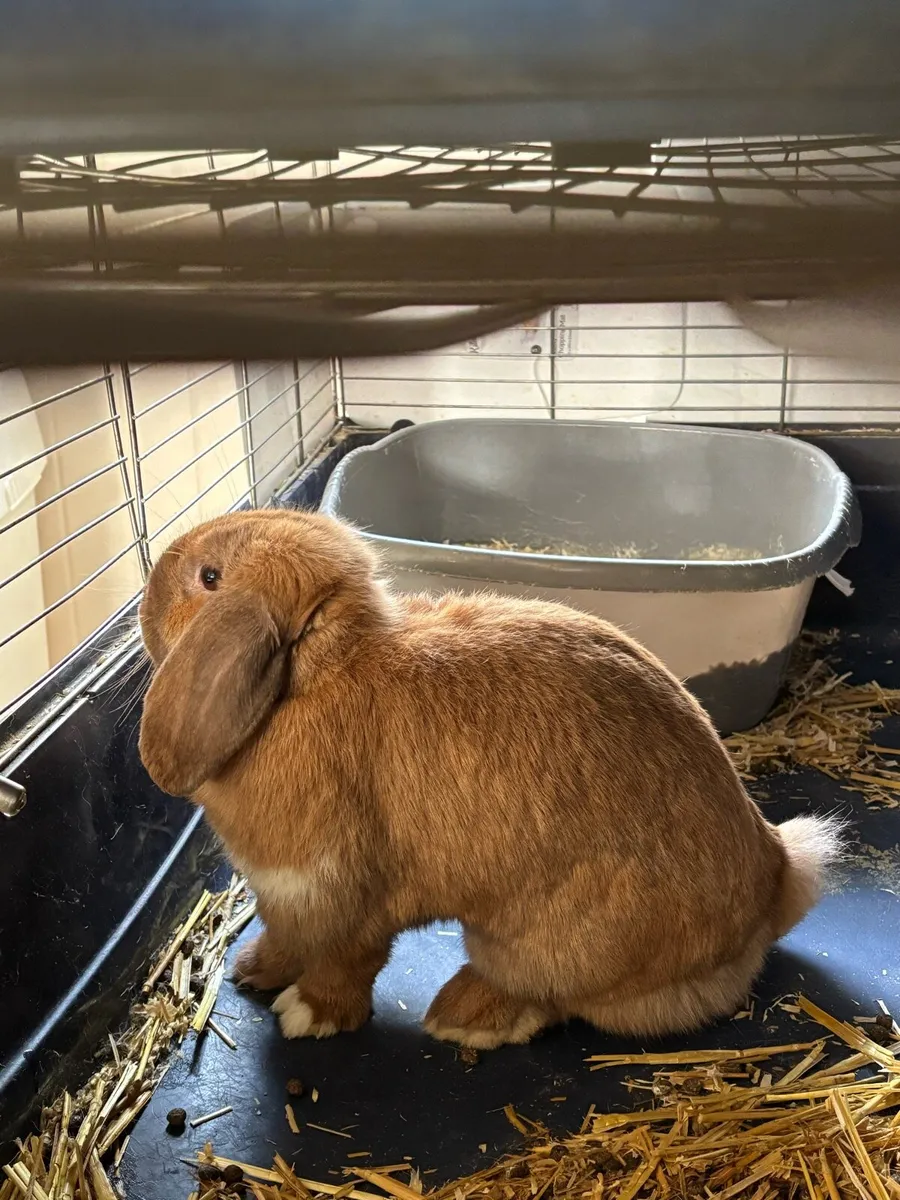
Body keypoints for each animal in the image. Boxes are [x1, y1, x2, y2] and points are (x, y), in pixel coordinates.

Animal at [138, 508, 842, 1049]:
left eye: (209, 578)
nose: (147, 592)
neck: (314, 680)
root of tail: (774, 881)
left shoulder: (343, 895)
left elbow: (348, 963)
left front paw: (307, 1016)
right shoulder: (286, 900)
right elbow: (286, 939)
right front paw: (252, 970)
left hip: (543, 945)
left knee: (550, 998)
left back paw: (466, 1018)